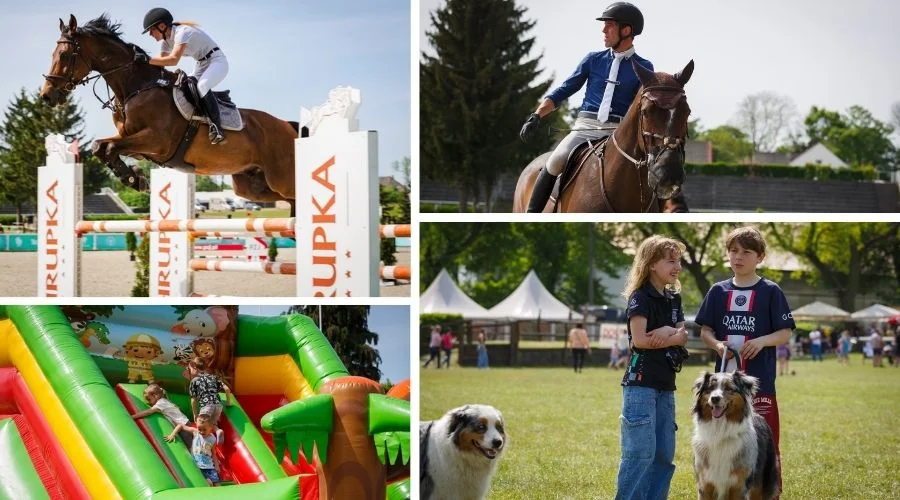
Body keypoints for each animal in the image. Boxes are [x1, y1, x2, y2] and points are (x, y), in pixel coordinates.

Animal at [39, 15, 298, 207]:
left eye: (64, 55)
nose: (47, 95)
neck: (137, 87)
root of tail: (286, 125)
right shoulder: (132, 141)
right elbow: (100, 146)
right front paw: (134, 177)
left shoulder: (157, 141)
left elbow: (110, 147)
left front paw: (134, 178)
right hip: (251, 185)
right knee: (286, 199)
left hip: (280, 178)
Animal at [688, 372, 780, 500]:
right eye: (710, 388)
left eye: (728, 388)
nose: (715, 398)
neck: (720, 432)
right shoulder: (705, 484)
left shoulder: (739, 486)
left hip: (762, 480)